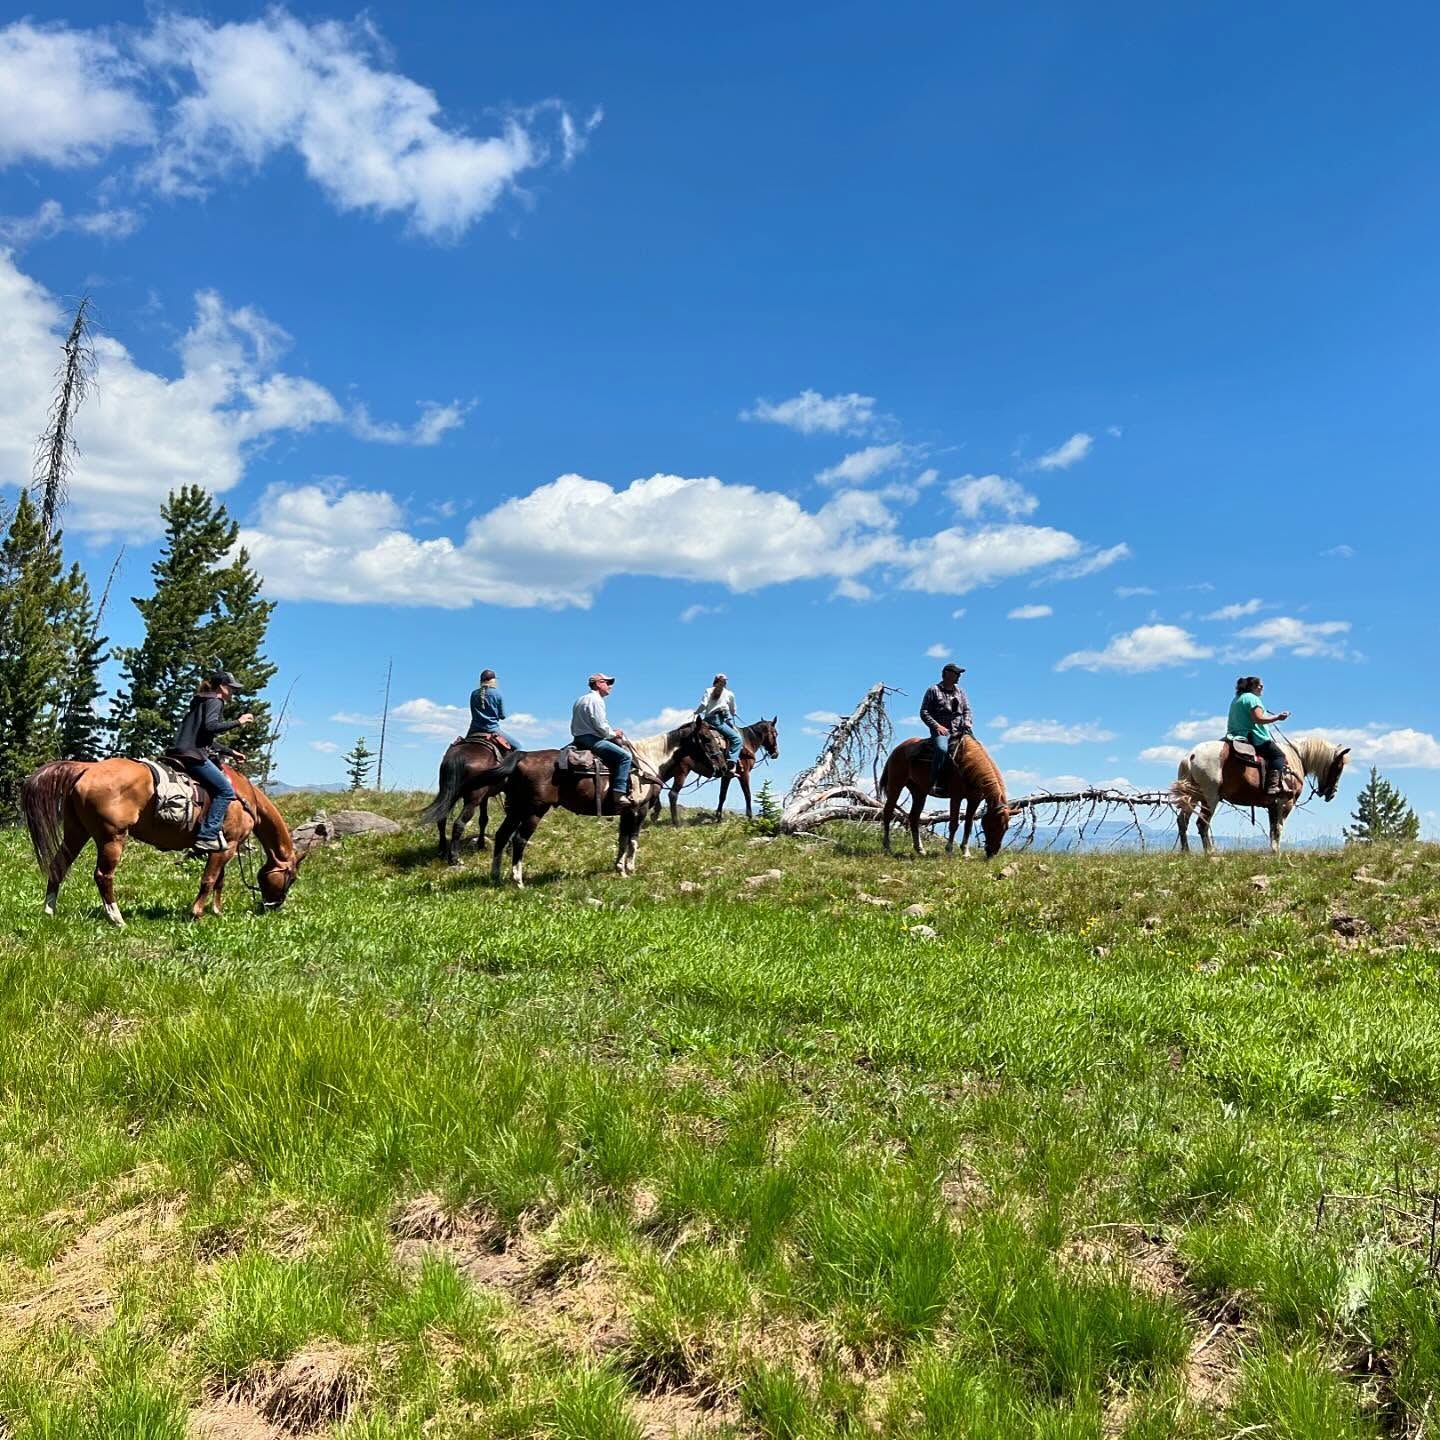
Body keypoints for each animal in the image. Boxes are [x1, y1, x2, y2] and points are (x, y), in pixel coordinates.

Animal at [20, 758, 302, 926]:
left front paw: (217, 911)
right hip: (111, 837)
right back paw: (117, 919)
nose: (273, 906)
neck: (245, 799)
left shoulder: (224, 847)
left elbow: (219, 881)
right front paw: (196, 914)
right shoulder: (228, 845)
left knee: (58, 865)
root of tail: (86, 768)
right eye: (292, 877)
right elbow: (209, 880)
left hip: (76, 831)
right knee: (103, 876)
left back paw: (49, 910)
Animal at [483, 721, 725, 886]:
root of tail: (522, 757)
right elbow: (633, 840)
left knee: (502, 835)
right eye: (706, 738)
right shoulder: (639, 809)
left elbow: (622, 839)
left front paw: (619, 868)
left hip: (516, 809)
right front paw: (630, 868)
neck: (648, 763)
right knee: (519, 840)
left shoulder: (626, 811)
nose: (723, 767)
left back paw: (495, 876)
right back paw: (518, 880)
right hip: (534, 810)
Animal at [879, 733, 1011, 858]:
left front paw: (966, 852)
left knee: (914, 817)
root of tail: (898, 749)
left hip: (919, 792)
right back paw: (887, 847)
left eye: (1006, 828)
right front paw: (949, 850)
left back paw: (920, 849)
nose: (992, 852)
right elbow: (953, 824)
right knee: (888, 812)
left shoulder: (974, 800)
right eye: (993, 826)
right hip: (896, 784)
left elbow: (968, 825)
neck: (968, 765)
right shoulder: (956, 797)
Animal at [1174, 735, 1350, 854]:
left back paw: (1186, 852)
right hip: (1210, 798)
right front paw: (1277, 852)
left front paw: (1273, 851)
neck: (1296, 759)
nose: (1331, 794)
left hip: (1193, 797)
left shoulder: (1272, 805)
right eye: (1339, 767)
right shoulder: (1285, 803)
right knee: (1202, 823)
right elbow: (1278, 828)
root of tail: (1191, 756)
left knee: (1183, 821)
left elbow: (1272, 829)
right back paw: (1210, 853)